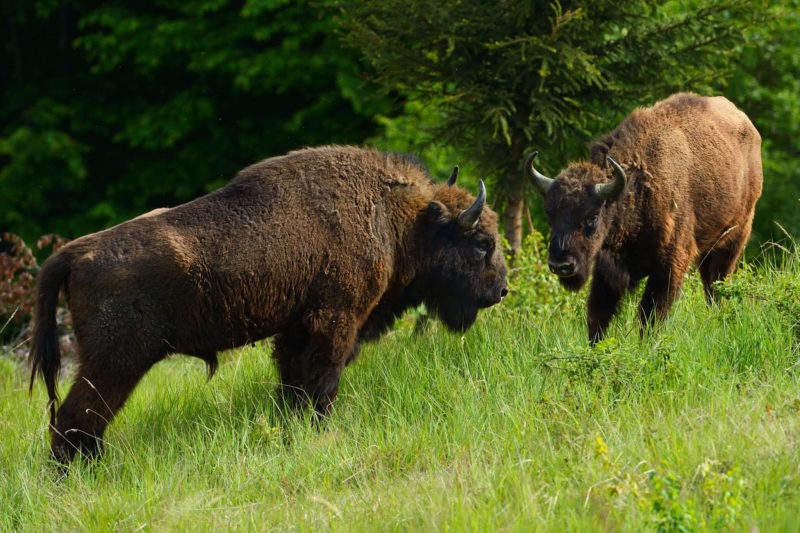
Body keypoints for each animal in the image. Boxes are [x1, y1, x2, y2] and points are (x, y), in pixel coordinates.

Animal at [31, 145, 510, 466]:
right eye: (481, 244)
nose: (501, 290)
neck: (396, 220)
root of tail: (74, 253)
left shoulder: (294, 332)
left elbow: (292, 388)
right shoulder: (335, 324)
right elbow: (320, 386)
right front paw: (318, 433)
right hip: (114, 361)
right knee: (75, 419)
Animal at [528, 92, 764, 342]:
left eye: (592, 217)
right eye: (550, 215)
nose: (560, 265)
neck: (634, 188)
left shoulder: (669, 265)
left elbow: (650, 315)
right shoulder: (607, 269)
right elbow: (598, 314)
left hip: (734, 238)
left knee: (717, 284)